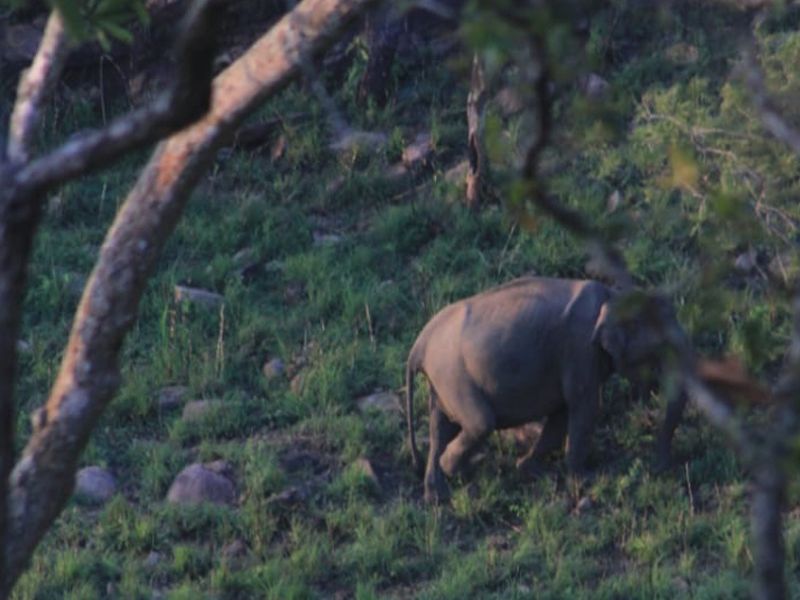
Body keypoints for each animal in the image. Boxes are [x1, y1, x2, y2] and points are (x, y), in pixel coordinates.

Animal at [406, 276, 688, 502]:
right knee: (479, 423)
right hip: (454, 377)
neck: (612, 295)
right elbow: (586, 408)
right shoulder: (579, 349)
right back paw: (454, 470)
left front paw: (527, 467)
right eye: (661, 348)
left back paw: (437, 494)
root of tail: (419, 344)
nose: (660, 469)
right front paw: (584, 479)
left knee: (440, 428)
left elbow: (562, 414)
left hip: (443, 382)